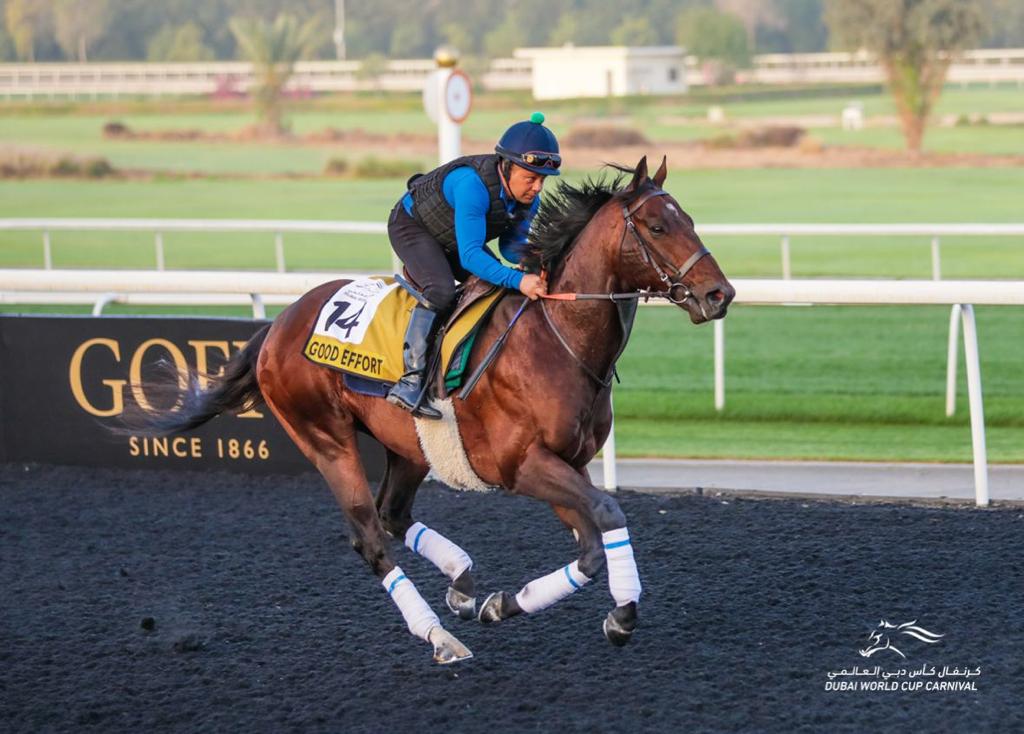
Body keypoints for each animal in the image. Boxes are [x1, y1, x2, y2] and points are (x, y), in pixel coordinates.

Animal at [141, 156, 735, 664]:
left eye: (689, 220)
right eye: (656, 227)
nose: (719, 295)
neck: (556, 338)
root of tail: (278, 325)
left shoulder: (568, 462)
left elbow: (590, 549)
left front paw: (503, 604)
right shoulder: (521, 465)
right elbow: (609, 513)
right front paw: (622, 615)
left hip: (408, 445)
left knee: (393, 514)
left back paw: (462, 585)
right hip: (325, 438)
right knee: (369, 536)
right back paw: (439, 635)